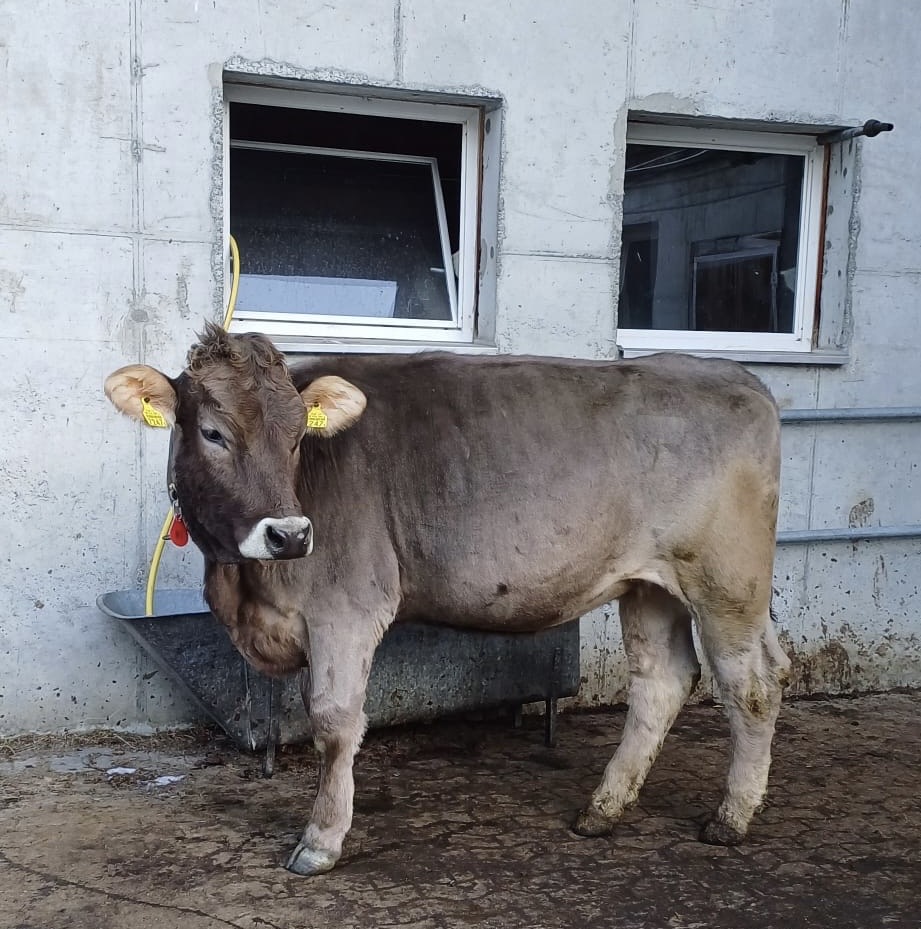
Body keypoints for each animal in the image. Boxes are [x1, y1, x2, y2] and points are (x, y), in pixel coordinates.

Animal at [104, 323, 791, 876]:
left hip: (727, 580)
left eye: (298, 437)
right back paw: (604, 808)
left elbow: (334, 721)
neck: (242, 584)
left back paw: (730, 818)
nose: (291, 534)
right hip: (651, 585)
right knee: (663, 680)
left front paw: (321, 841)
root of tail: (727, 373)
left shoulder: (346, 611)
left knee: (751, 684)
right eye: (213, 433)